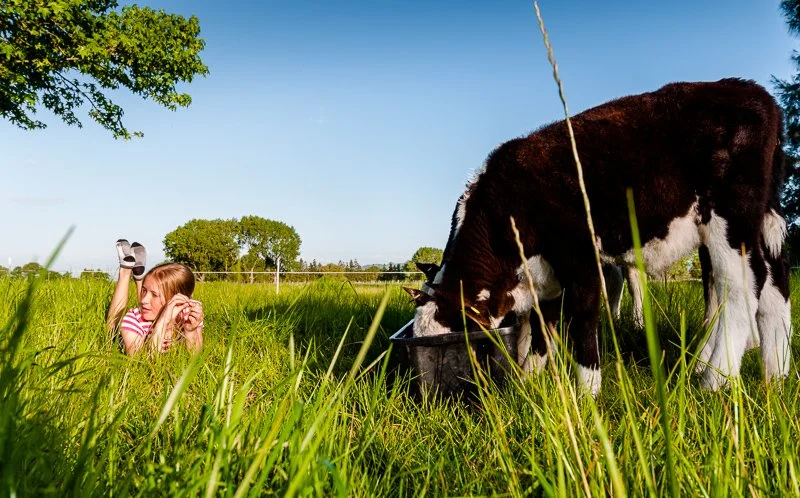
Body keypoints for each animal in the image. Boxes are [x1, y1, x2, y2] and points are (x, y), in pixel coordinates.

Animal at [406, 79, 792, 395]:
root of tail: (756, 94)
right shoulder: (545, 277)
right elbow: (543, 328)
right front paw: (530, 377)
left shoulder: (581, 258)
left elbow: (583, 320)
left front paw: (587, 391)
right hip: (760, 219)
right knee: (775, 286)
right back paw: (775, 375)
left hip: (731, 217)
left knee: (740, 286)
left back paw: (714, 380)